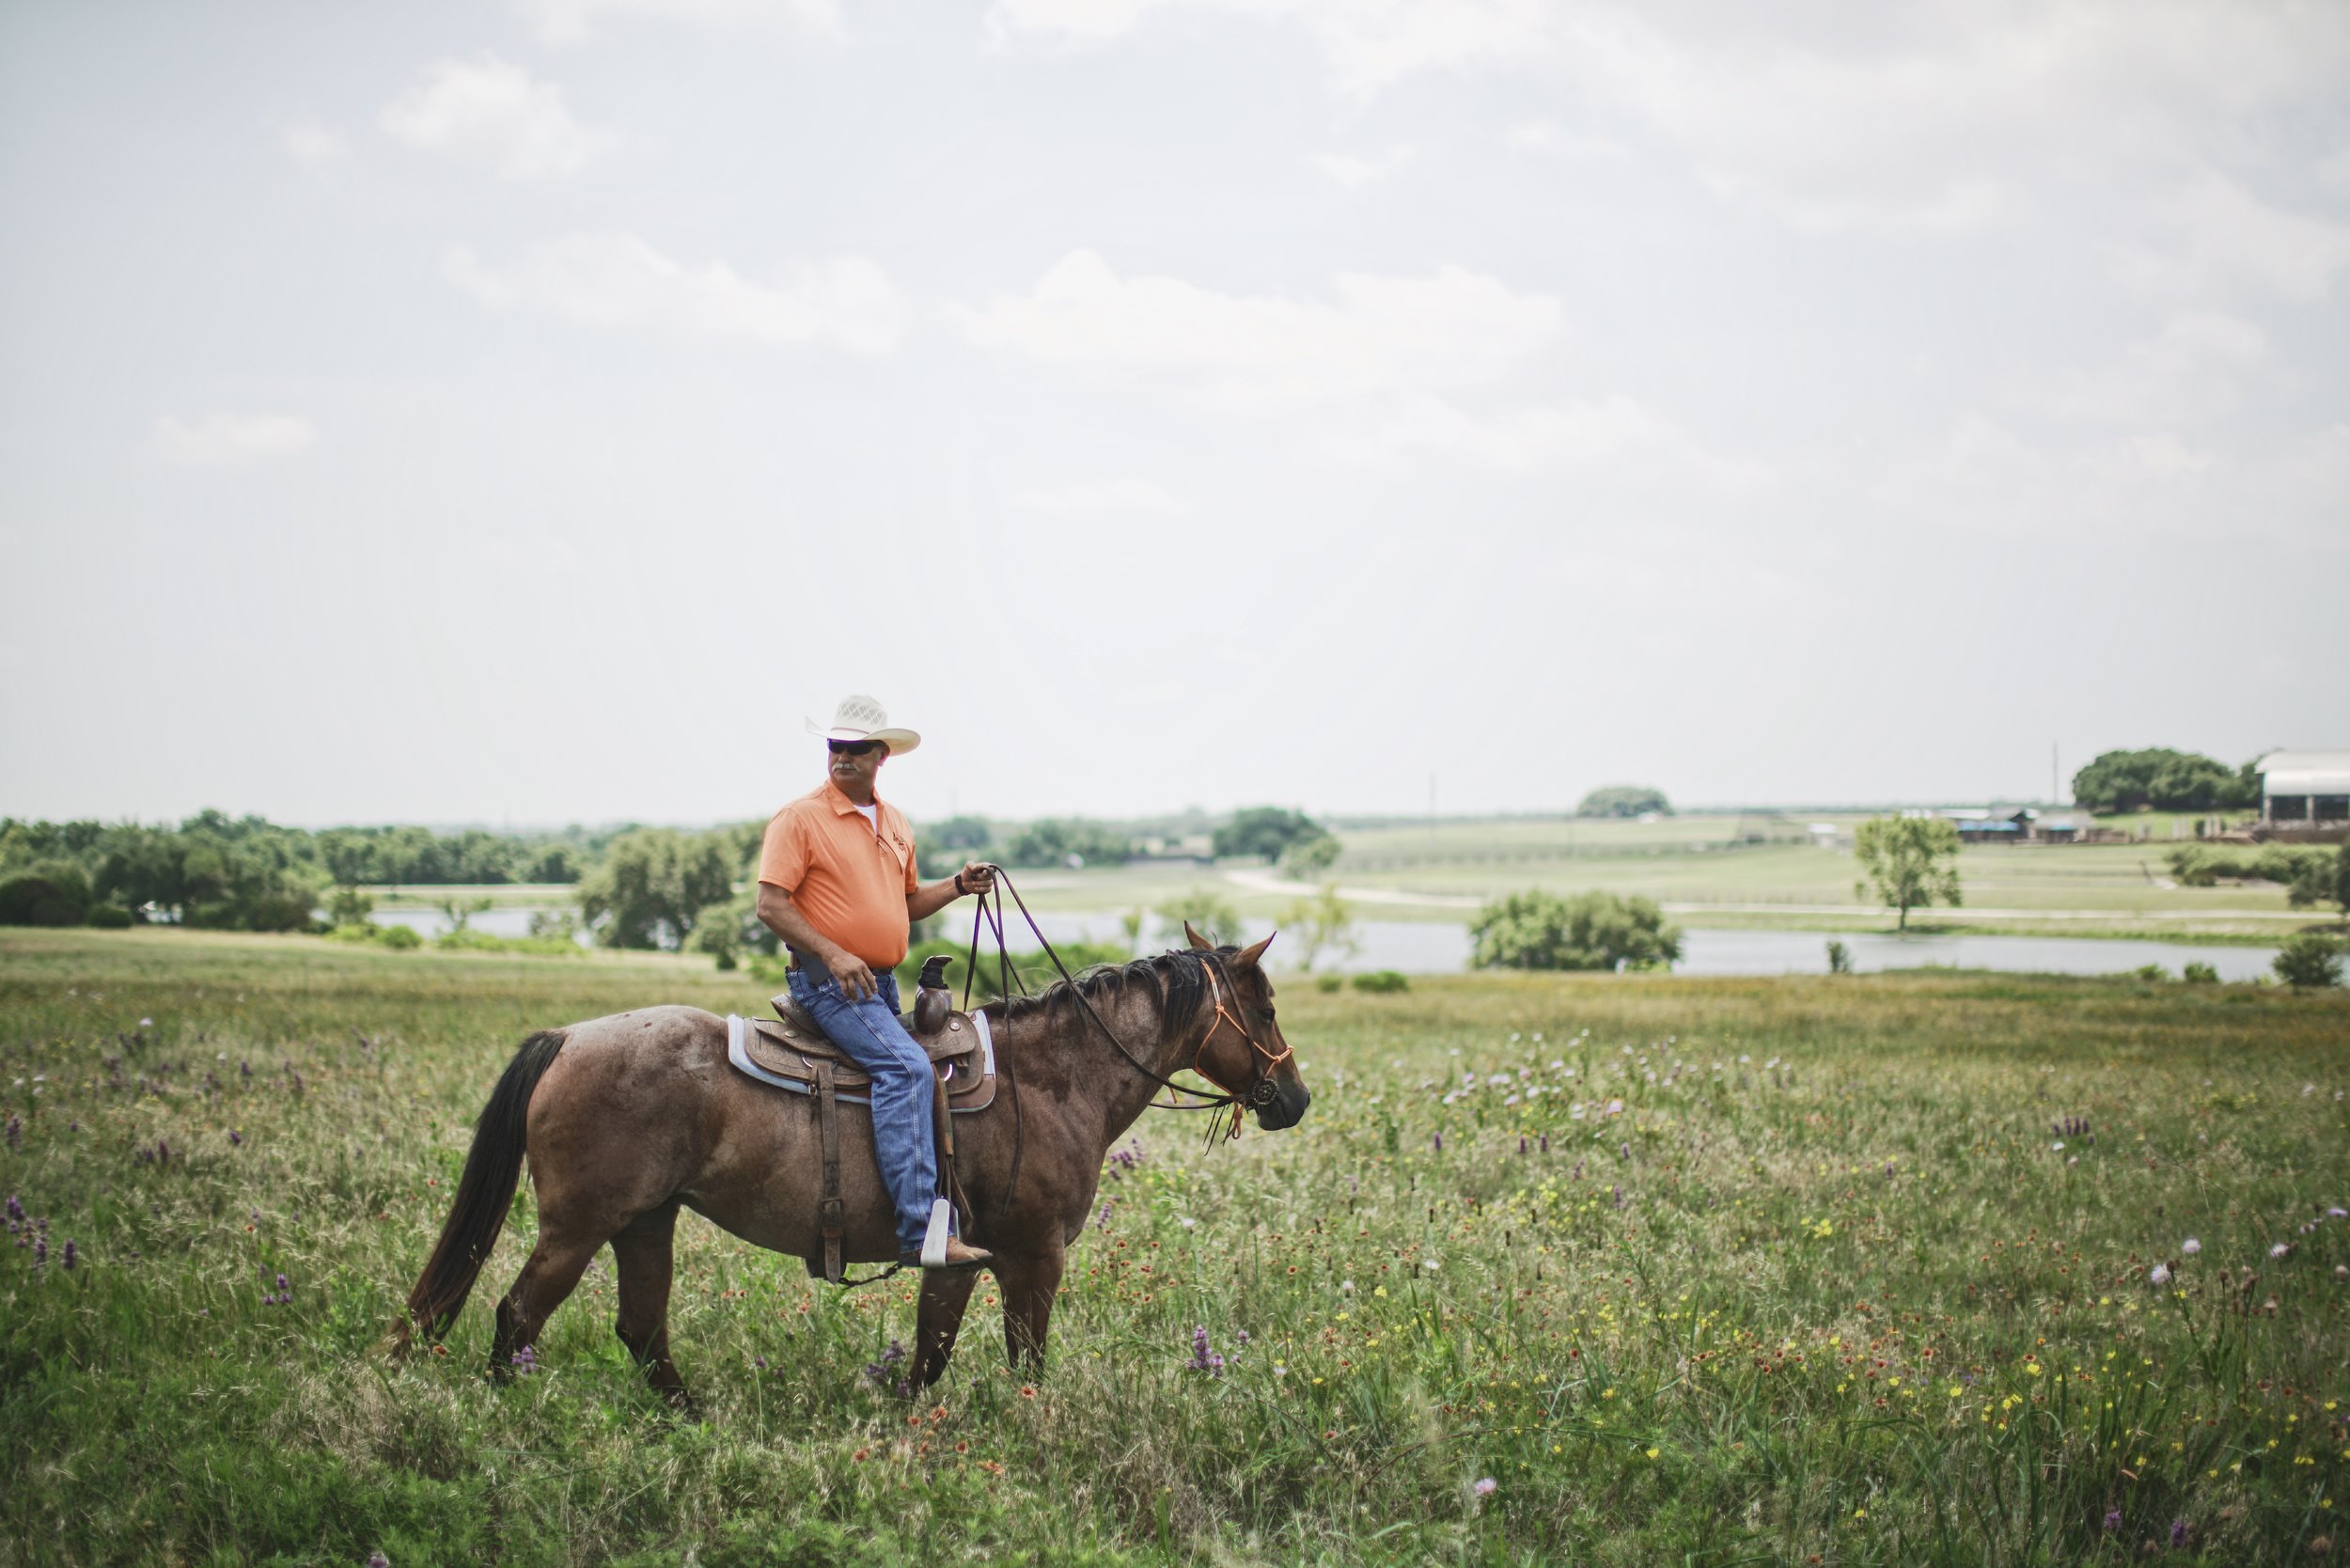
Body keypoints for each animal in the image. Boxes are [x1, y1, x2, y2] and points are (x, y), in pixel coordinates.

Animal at [395, 926, 1316, 1401]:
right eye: (1266, 1006)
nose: (1295, 1098)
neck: (1052, 1079)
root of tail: (568, 1039)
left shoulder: (963, 1262)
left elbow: (928, 1357)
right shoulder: (1032, 1257)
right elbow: (1023, 1360)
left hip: (644, 1223)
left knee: (640, 1330)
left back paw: (691, 1417)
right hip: (577, 1228)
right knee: (517, 1316)